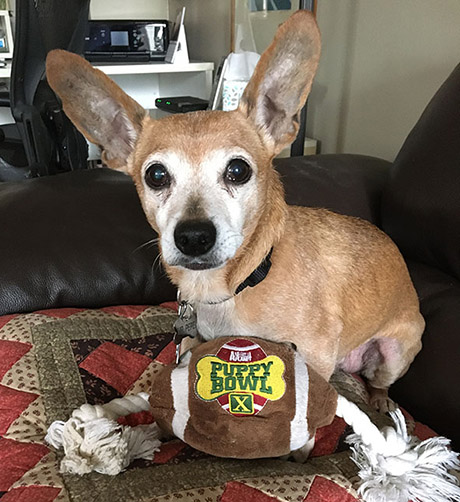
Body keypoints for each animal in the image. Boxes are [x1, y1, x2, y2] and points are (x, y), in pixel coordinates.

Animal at [46, 10, 424, 458]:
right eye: (155, 175)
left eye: (238, 170)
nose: (193, 236)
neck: (241, 281)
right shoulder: (195, 341)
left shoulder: (314, 355)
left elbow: (309, 418)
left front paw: (296, 455)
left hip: (395, 351)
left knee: (380, 382)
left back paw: (380, 401)